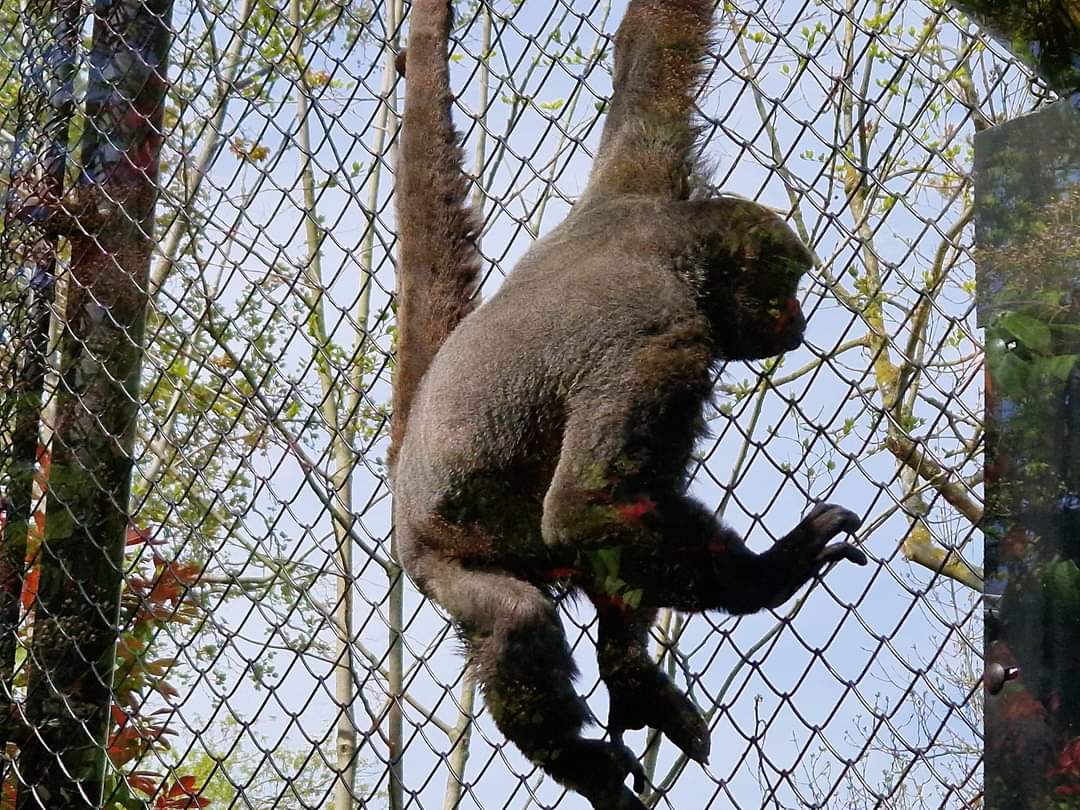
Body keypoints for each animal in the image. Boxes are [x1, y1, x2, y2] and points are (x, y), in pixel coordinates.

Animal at [389, 2, 867, 808]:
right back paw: (582, 758)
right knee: (521, 611)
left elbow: (650, 54)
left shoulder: (636, 179)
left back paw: (629, 672)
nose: (800, 315)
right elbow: (581, 508)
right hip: (436, 557)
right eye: (786, 285)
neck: (664, 243)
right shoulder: (661, 340)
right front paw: (769, 576)